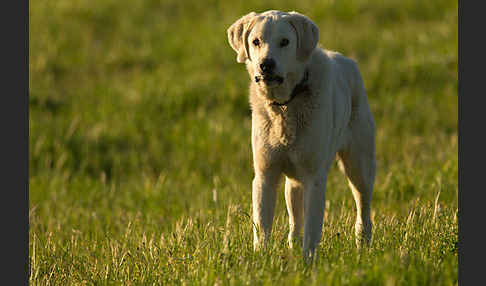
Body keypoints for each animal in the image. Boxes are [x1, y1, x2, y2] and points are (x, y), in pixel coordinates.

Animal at [227, 10, 376, 260]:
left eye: (285, 42)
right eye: (256, 41)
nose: (266, 64)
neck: (285, 107)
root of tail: (349, 62)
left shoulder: (315, 177)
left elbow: (313, 228)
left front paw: (309, 262)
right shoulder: (265, 174)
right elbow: (262, 226)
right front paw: (261, 259)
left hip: (359, 165)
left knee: (363, 208)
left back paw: (362, 247)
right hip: (294, 181)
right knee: (295, 218)